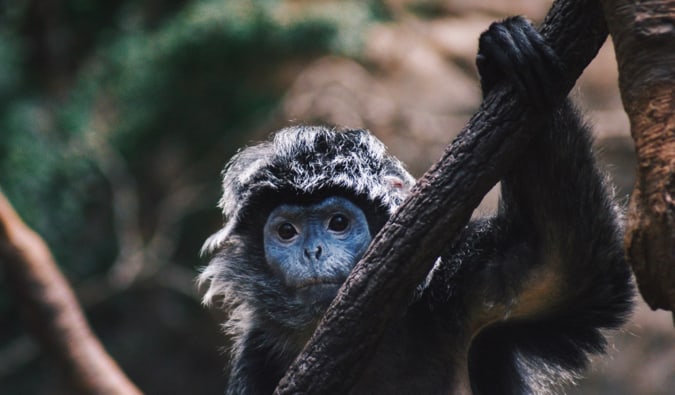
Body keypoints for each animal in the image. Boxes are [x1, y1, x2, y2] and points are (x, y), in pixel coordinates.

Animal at [197, 16, 632, 395]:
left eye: (338, 223)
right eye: (286, 231)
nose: (313, 251)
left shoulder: (466, 286)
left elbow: (568, 267)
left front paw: (504, 56)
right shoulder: (256, 360)